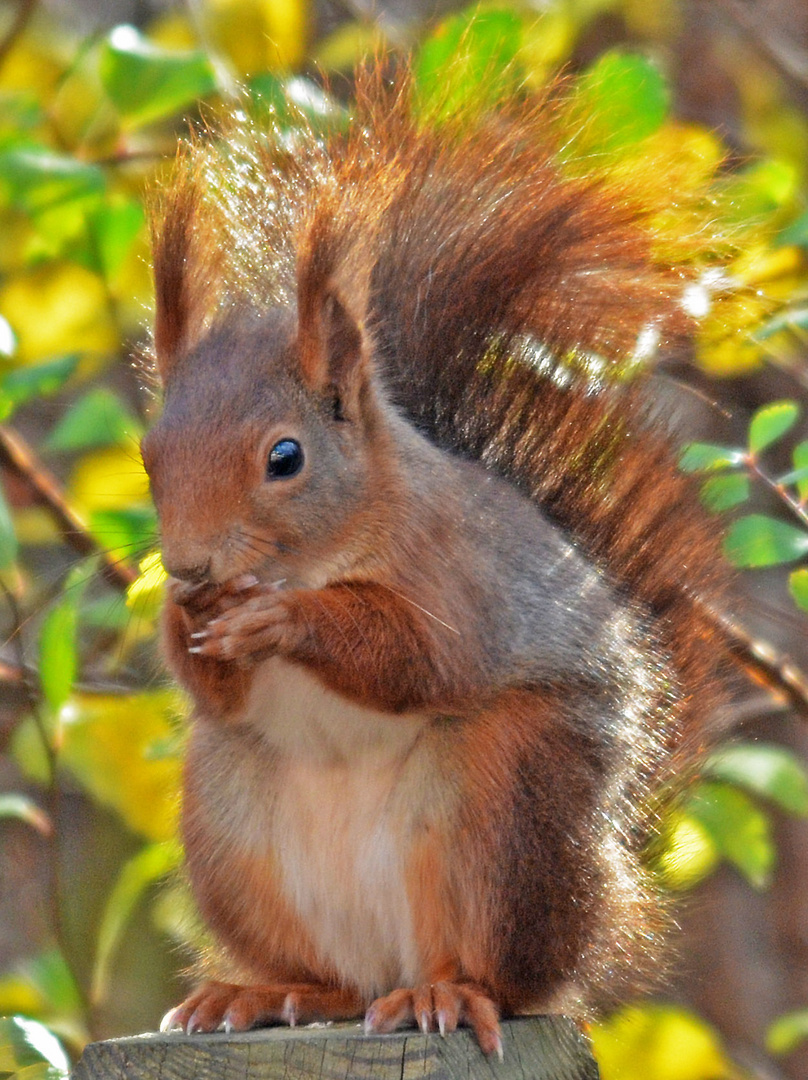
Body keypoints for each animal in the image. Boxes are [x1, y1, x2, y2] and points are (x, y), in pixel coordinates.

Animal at [143, 67, 730, 1054]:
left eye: (285, 457)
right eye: (149, 455)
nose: (189, 567)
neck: (337, 543)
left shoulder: (459, 582)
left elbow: (417, 660)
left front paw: (286, 620)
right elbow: (213, 690)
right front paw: (183, 620)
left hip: (503, 804)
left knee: (505, 973)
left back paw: (448, 994)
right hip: (231, 826)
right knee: (331, 981)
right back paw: (264, 994)